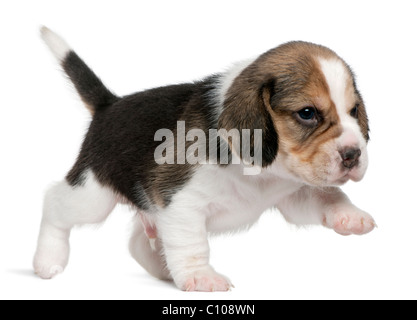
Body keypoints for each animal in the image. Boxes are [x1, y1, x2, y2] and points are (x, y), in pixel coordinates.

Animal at [34, 27, 376, 292]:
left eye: (353, 111)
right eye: (307, 113)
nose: (353, 154)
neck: (262, 172)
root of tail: (109, 104)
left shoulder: (292, 194)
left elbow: (327, 196)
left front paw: (350, 215)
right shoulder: (180, 202)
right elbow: (192, 244)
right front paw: (201, 278)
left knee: (137, 242)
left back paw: (164, 269)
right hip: (92, 194)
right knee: (53, 203)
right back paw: (48, 259)